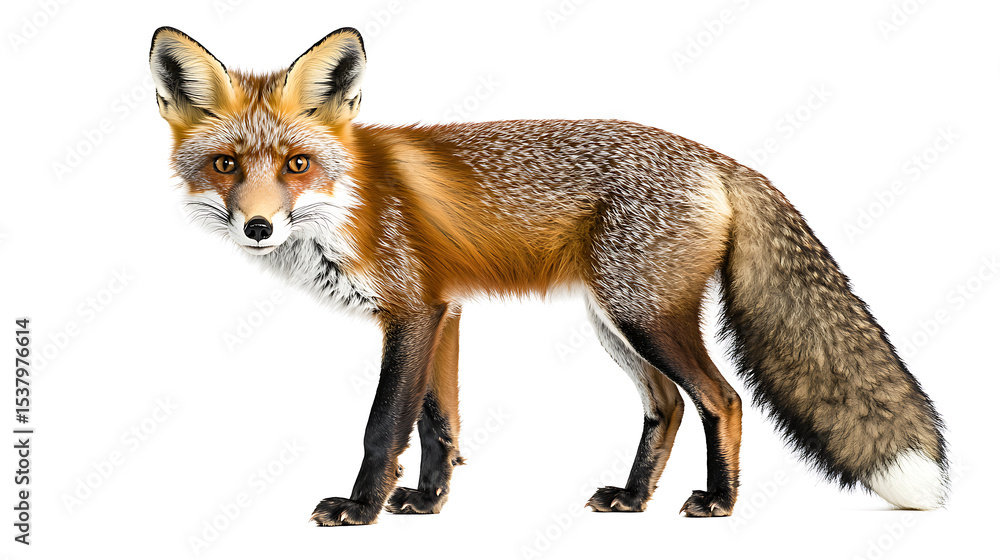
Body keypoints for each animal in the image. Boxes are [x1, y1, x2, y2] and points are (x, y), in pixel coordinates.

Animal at [149, 26, 948, 525]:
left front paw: (360, 512)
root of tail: (717, 158)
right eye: (226, 165)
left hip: (645, 316)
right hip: (614, 321)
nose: (258, 227)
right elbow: (440, 425)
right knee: (668, 406)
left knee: (722, 400)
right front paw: (428, 505)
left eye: (296, 164)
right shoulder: (444, 311)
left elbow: (385, 427)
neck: (349, 200)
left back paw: (719, 504)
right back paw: (633, 499)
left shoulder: (411, 311)